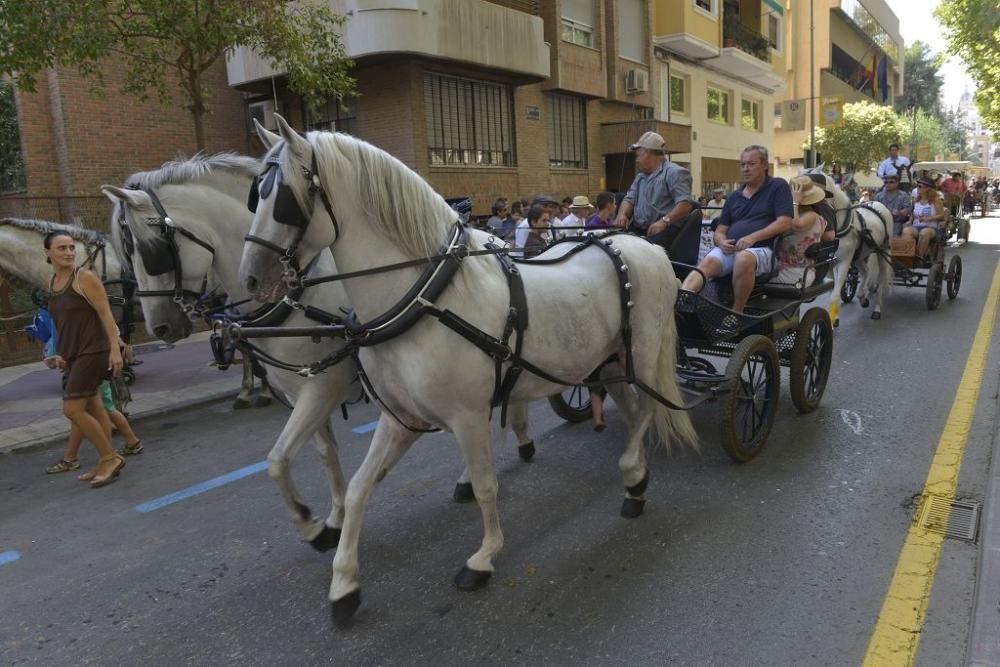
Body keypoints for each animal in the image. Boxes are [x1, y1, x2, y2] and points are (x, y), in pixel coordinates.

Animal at [239, 117, 700, 624]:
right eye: (255, 194)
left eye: (284, 196)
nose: (252, 279)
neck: (426, 297)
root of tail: (642, 244)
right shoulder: (400, 418)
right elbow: (360, 488)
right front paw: (343, 582)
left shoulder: (468, 416)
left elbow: (484, 485)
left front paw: (483, 557)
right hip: (610, 362)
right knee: (636, 415)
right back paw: (635, 483)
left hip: (644, 354)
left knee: (650, 412)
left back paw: (631, 472)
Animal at [800, 166, 896, 324]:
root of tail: (878, 205)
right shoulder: (832, 262)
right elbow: (835, 289)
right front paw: (835, 315)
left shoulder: (844, 261)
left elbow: (835, 292)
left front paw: (833, 320)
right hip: (860, 256)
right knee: (866, 272)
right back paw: (862, 297)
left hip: (882, 252)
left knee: (881, 281)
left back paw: (876, 309)